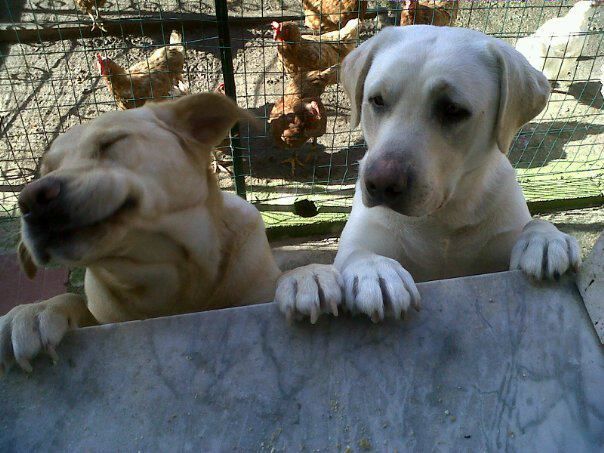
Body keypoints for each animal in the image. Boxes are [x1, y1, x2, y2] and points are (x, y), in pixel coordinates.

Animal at [278, 25, 580, 322]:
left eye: (452, 109)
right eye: (377, 100)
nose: (380, 184)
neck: (443, 216)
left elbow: (532, 224)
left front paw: (545, 238)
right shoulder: (365, 235)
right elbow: (359, 252)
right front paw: (374, 270)